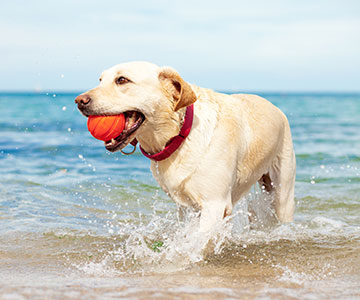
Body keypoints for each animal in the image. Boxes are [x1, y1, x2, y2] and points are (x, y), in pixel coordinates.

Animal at [75, 60, 296, 230]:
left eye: (122, 80)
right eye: (100, 80)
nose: (79, 101)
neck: (179, 135)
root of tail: (276, 107)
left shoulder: (215, 204)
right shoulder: (187, 208)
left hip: (282, 192)